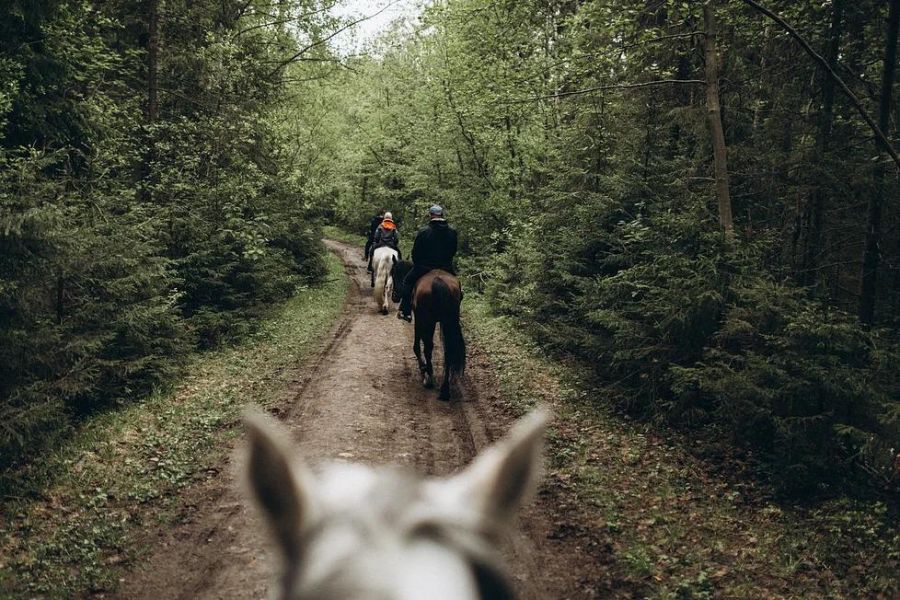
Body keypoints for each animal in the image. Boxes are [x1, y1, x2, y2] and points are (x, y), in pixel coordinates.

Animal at [392, 260, 464, 400]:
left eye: (393, 273)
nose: (395, 297)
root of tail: (438, 282)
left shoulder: (419, 319)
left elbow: (417, 345)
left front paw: (422, 367)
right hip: (448, 321)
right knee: (448, 350)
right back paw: (444, 389)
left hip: (427, 320)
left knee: (428, 347)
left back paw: (429, 376)